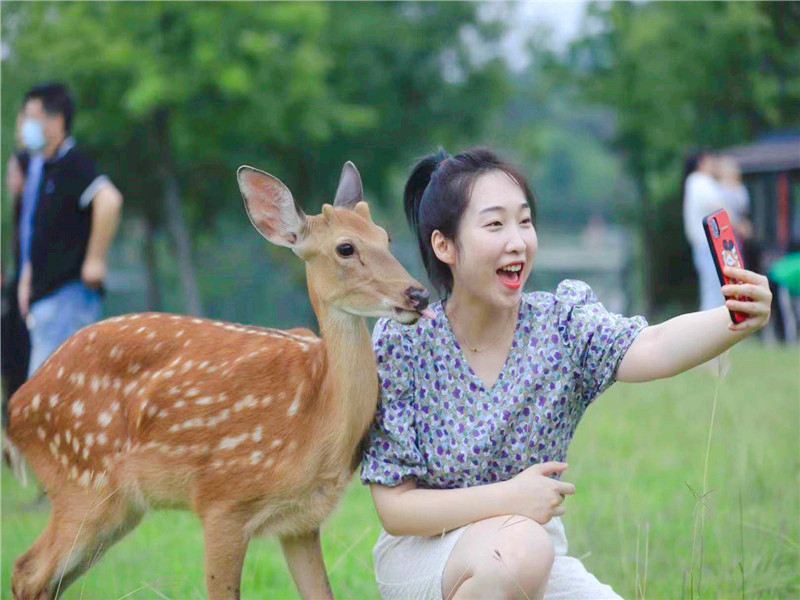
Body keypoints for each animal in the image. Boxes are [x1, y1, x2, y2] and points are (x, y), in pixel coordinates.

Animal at [6, 161, 431, 600]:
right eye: (345, 248)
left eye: (385, 236)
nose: (417, 294)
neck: (316, 419)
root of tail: (17, 406)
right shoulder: (222, 500)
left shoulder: (302, 520)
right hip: (82, 480)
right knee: (26, 571)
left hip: (117, 506)